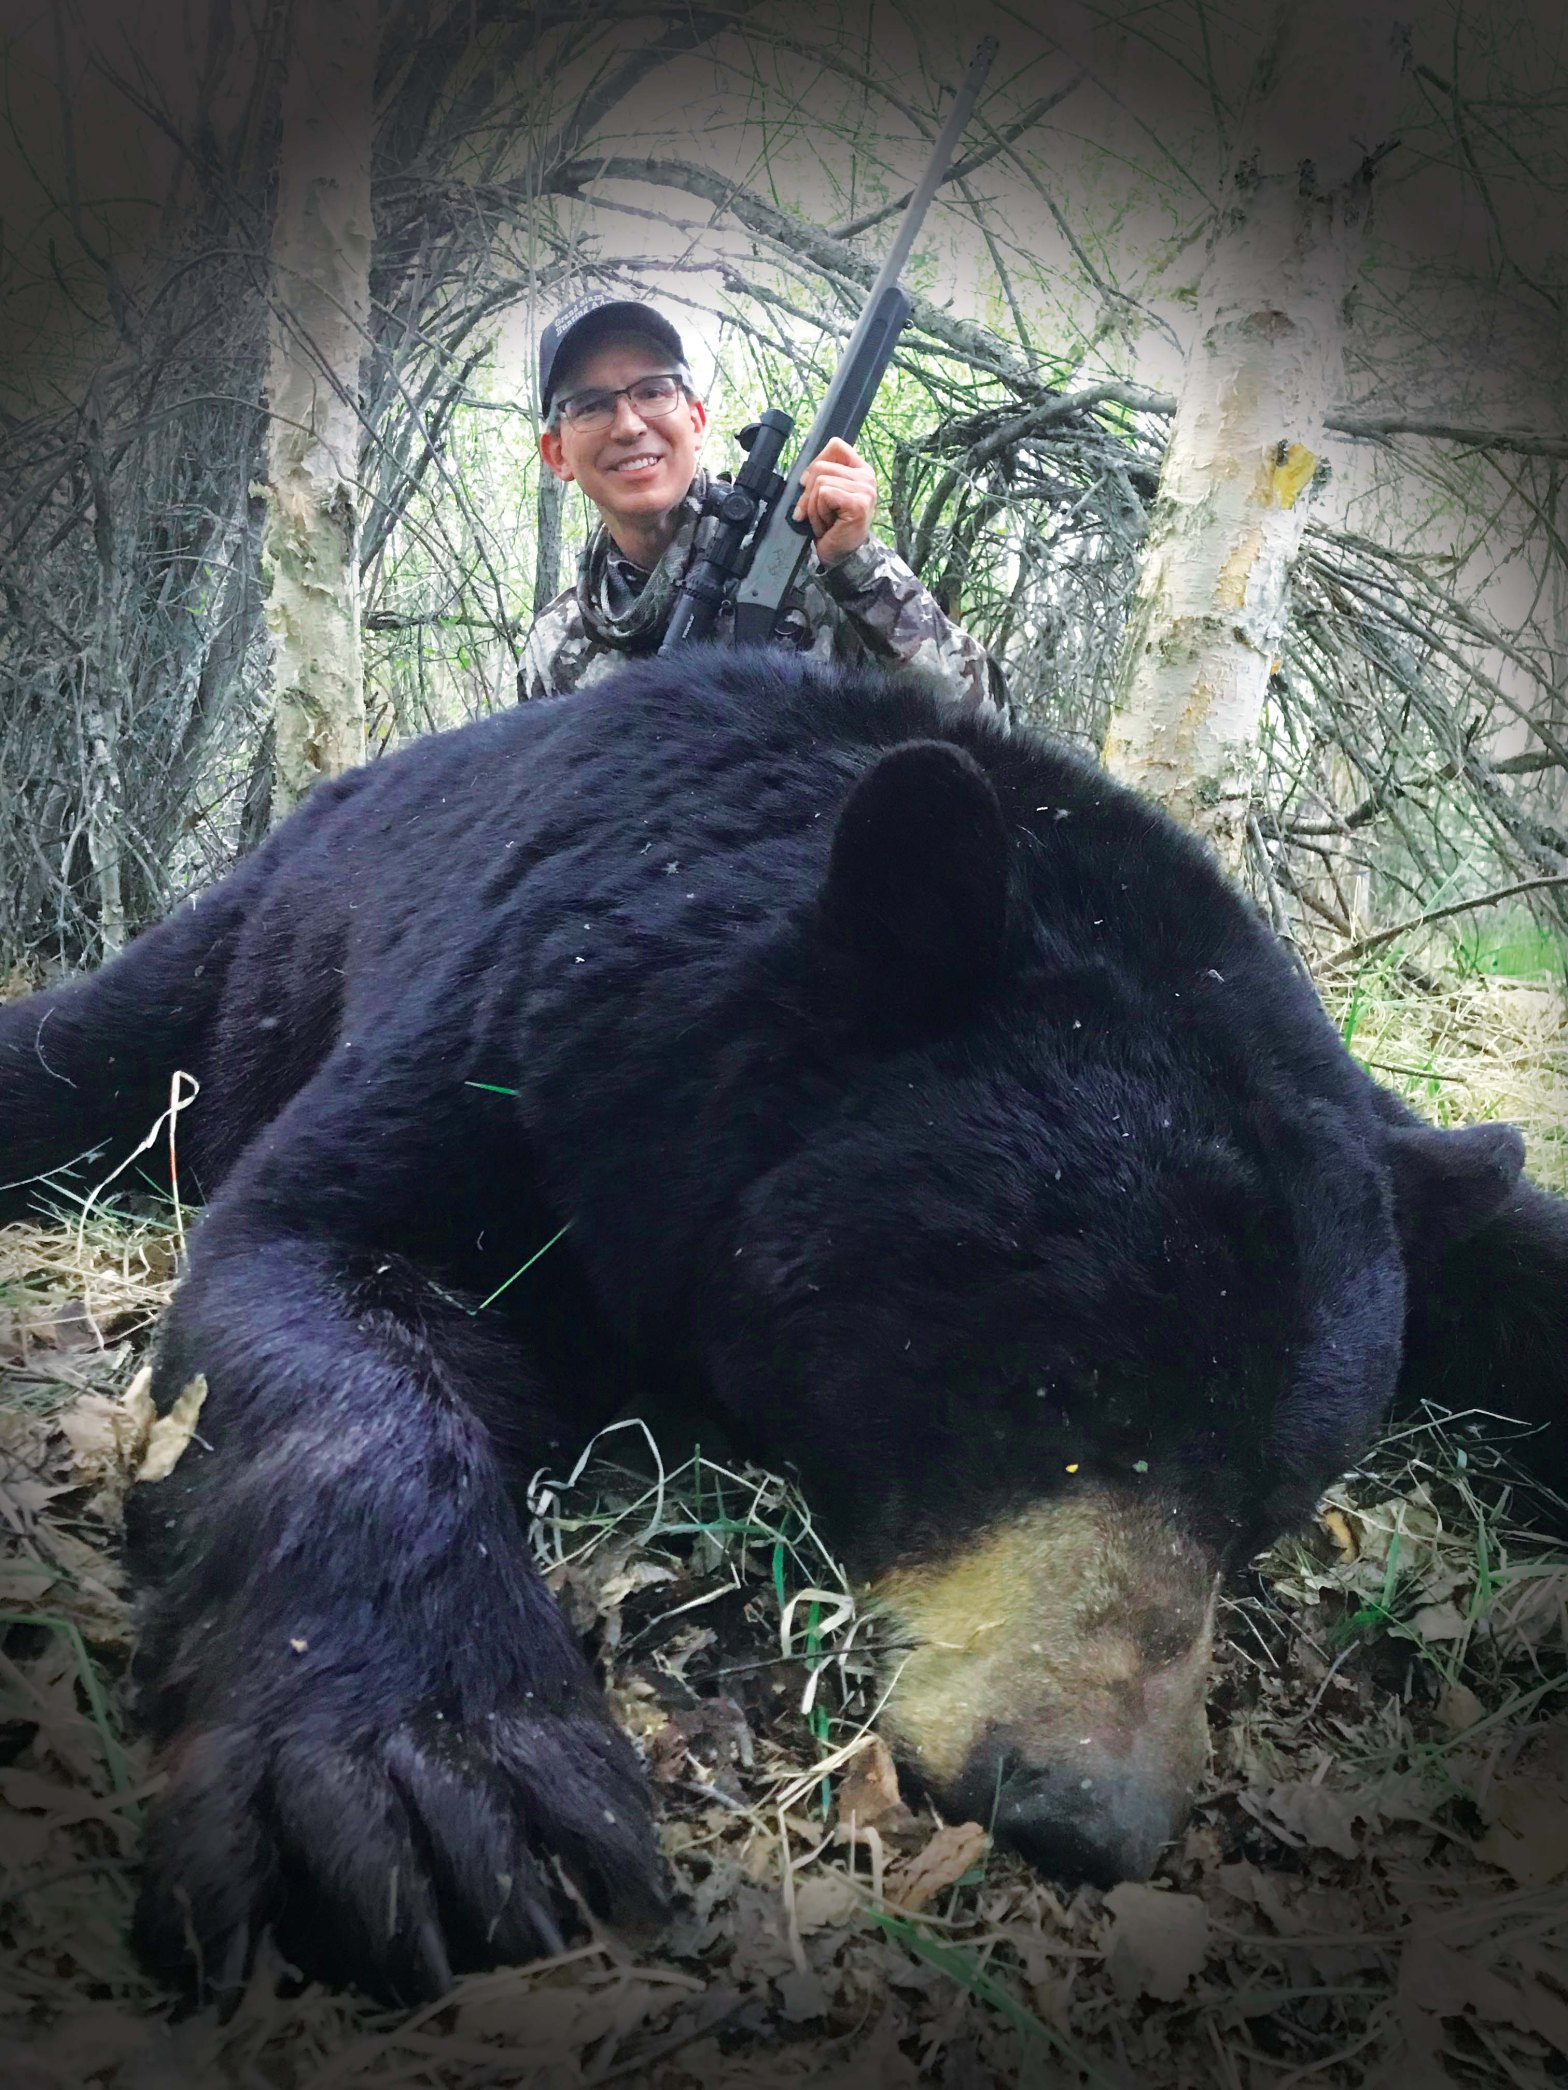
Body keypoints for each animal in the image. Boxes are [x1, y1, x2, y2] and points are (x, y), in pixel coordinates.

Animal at [1, 649, 1564, 2007]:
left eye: (1276, 1498)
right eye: (1050, 1392)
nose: (1081, 1804)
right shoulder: (530, 1043)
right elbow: (319, 1264)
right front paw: (439, 1784)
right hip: (255, 943)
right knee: (83, 1046)